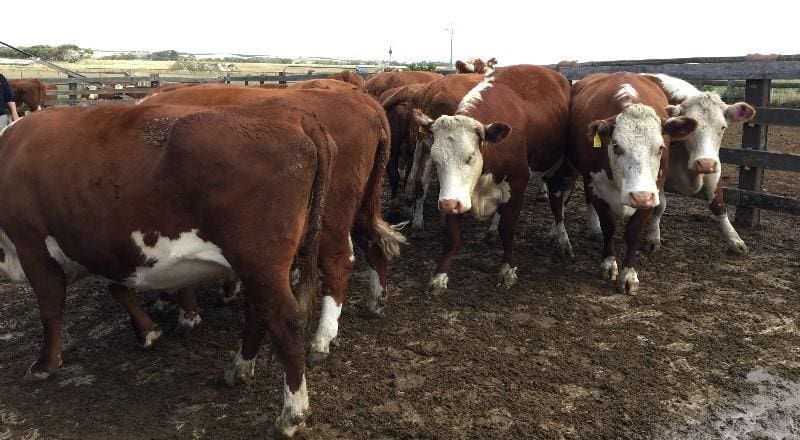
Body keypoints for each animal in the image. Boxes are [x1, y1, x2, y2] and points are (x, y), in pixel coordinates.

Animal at [0, 102, 334, 436]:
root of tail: (294, 116)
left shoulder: (32, 247)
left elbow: (50, 311)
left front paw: (44, 365)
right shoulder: (109, 252)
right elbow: (116, 288)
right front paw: (149, 331)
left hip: (260, 263)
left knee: (287, 321)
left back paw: (291, 414)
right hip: (257, 268)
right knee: (256, 312)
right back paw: (239, 368)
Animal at [139, 86, 406, 364]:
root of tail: (364, 102)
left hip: (331, 215)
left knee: (339, 262)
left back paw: (321, 340)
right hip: (363, 202)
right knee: (371, 241)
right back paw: (377, 301)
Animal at [412, 64, 576, 292]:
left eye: (470, 156)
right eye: (436, 160)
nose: (446, 204)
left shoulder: (517, 184)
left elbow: (507, 229)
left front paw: (508, 270)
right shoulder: (456, 194)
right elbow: (452, 236)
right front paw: (439, 276)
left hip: (557, 169)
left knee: (557, 203)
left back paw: (561, 238)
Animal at [564, 71, 696, 292]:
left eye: (660, 148)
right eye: (616, 146)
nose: (639, 196)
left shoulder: (652, 192)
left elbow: (633, 232)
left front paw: (629, 275)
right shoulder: (596, 186)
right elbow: (608, 225)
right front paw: (609, 265)